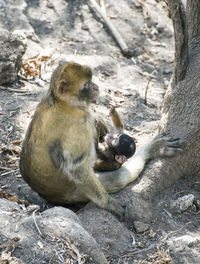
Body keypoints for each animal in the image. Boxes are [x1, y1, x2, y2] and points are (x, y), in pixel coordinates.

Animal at [19, 61, 184, 219]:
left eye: (91, 80)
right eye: (87, 84)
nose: (96, 86)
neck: (62, 103)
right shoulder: (80, 125)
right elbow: (78, 168)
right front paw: (109, 204)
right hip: (79, 192)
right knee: (120, 177)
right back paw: (151, 149)